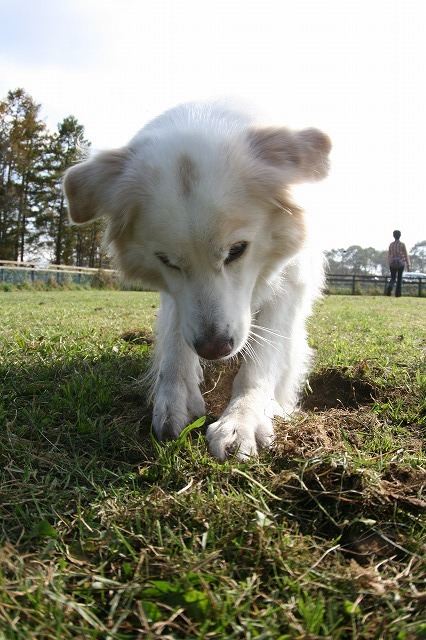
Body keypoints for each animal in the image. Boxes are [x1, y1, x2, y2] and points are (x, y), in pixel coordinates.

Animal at [64, 101, 330, 460]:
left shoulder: (289, 281)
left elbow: (262, 359)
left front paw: (242, 419)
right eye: (166, 260)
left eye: (237, 250)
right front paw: (174, 399)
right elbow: (176, 341)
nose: (213, 349)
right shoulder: (177, 295)